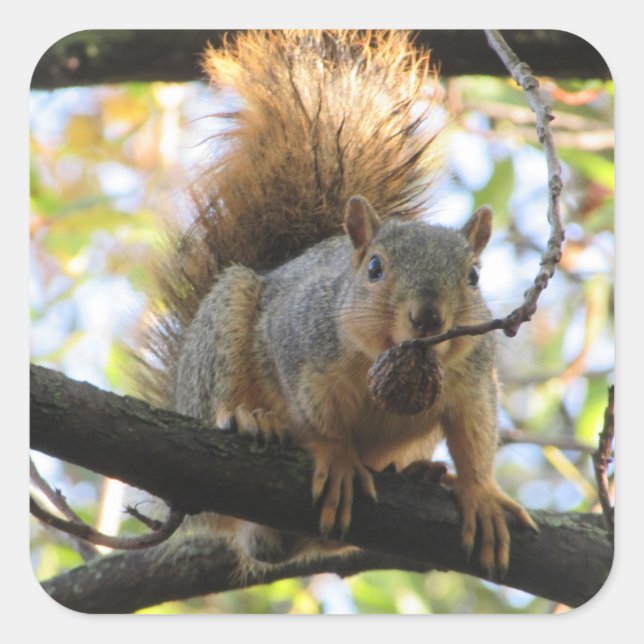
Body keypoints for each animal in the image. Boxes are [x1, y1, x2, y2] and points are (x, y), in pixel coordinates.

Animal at [135, 29, 538, 577]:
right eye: (375, 269)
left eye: (473, 277)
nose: (428, 317)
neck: (384, 358)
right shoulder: (299, 344)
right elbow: (317, 418)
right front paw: (338, 456)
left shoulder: (472, 379)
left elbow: (474, 435)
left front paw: (480, 492)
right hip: (222, 331)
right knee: (219, 402)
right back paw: (249, 420)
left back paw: (422, 474)